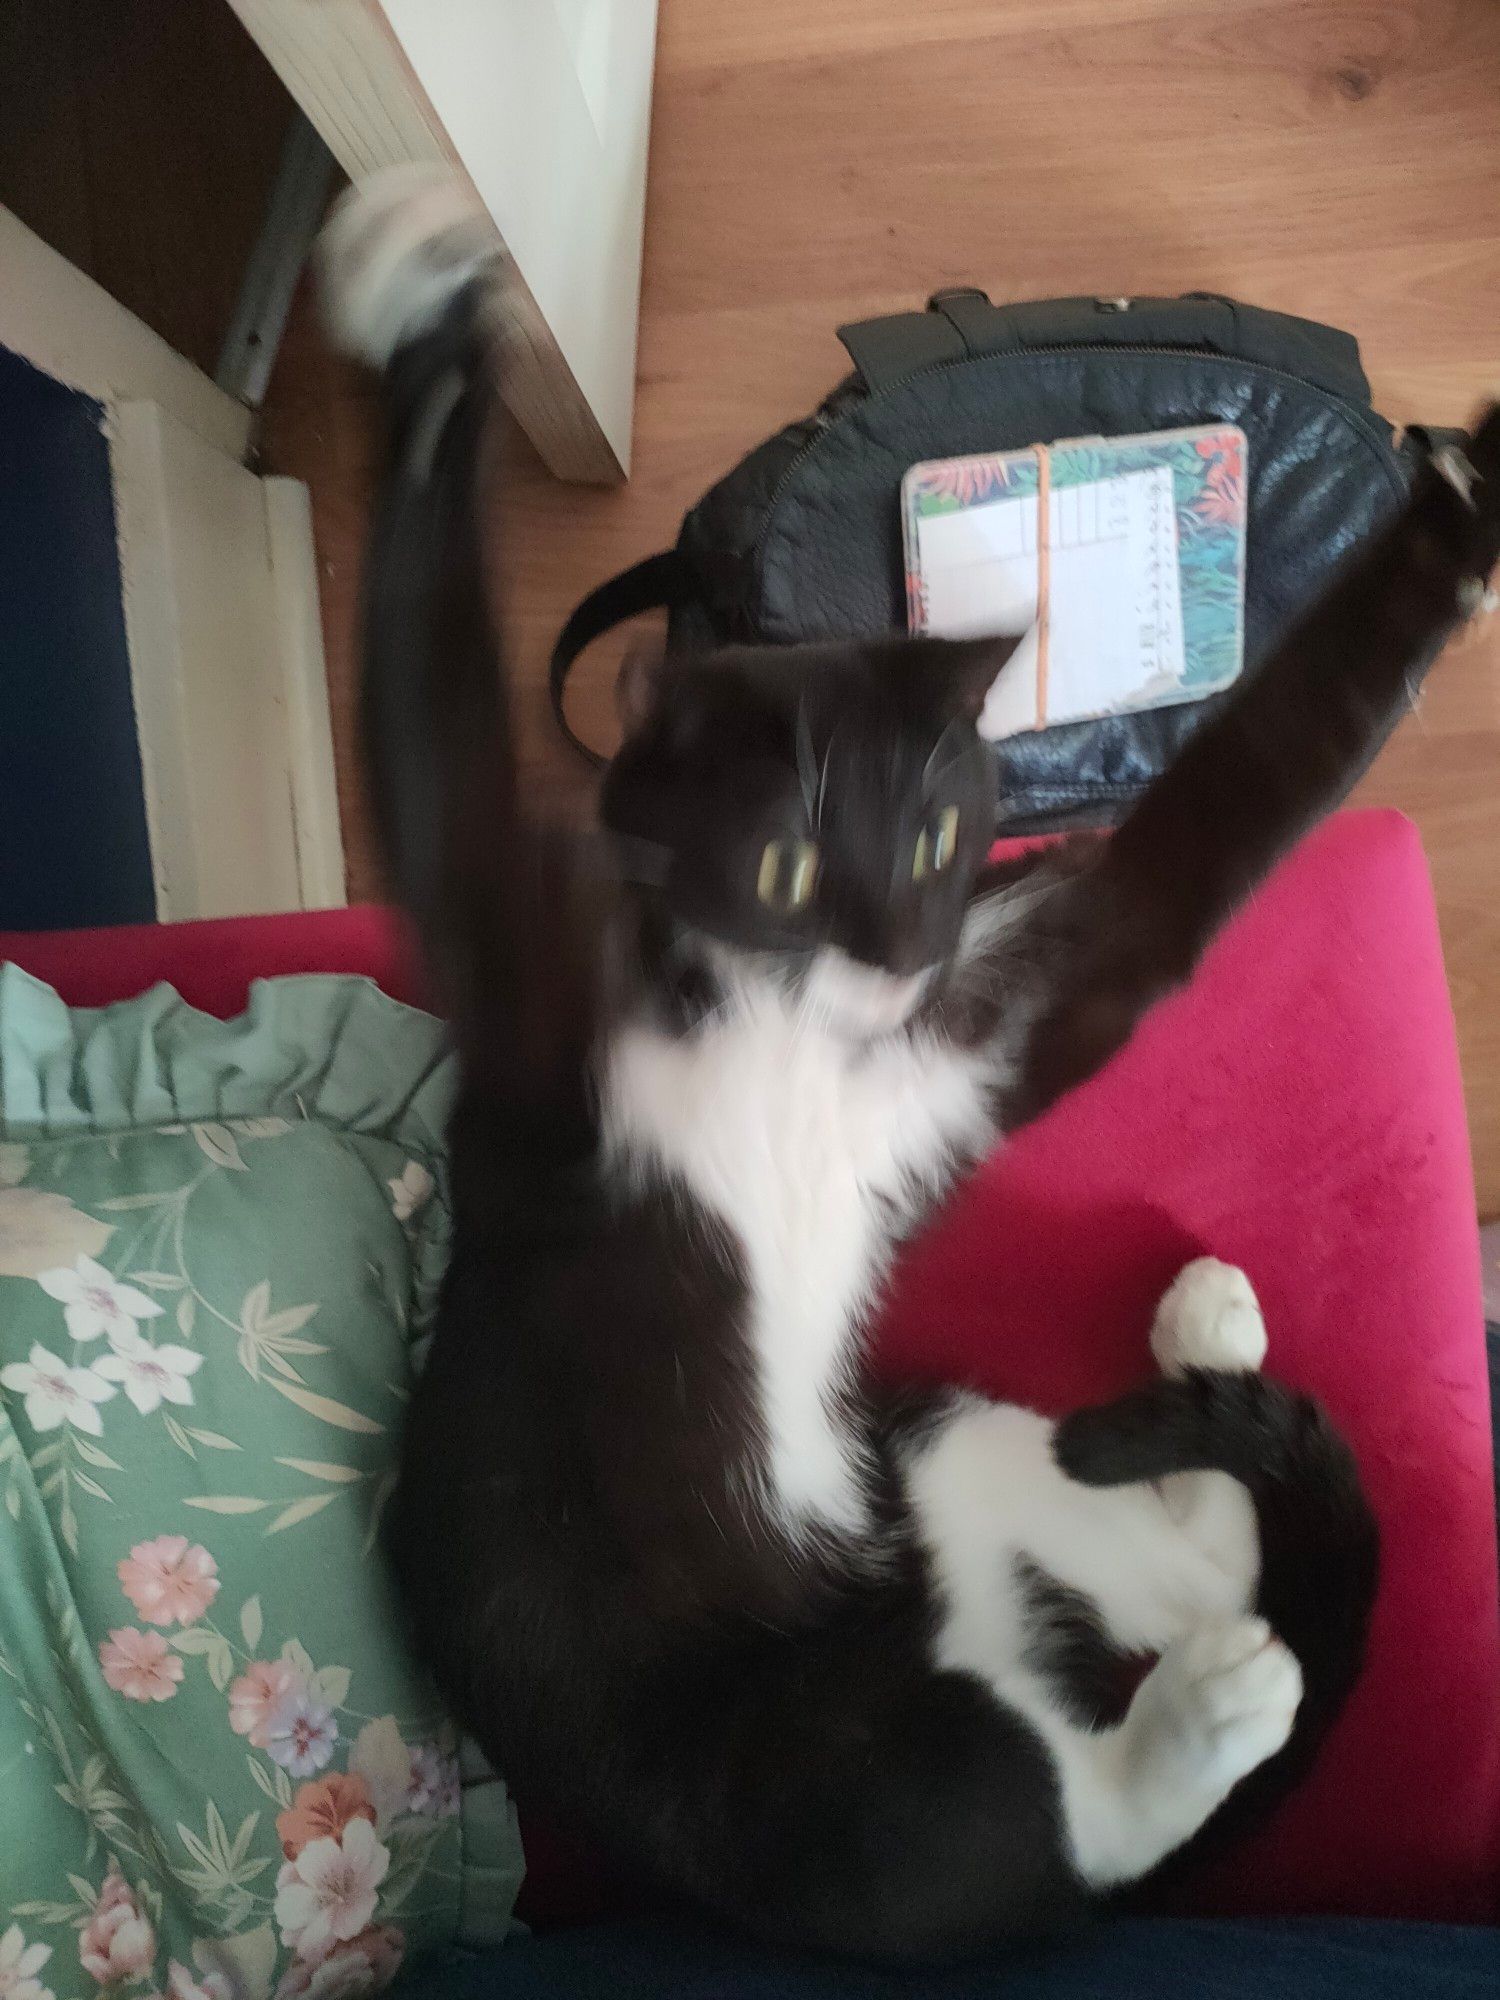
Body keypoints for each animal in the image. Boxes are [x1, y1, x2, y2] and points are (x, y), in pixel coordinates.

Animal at [320, 168, 1500, 1952]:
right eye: (791, 866)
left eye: (945, 838)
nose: (889, 956)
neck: (791, 1031)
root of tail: (945, 1621)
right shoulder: (533, 994)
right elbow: (434, 742)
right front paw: (420, 310)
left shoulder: (977, 1020)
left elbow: (1228, 817)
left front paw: (1468, 508)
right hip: (813, 1756)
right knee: (1034, 1823)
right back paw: (1209, 1704)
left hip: (933, 1444)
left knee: (1188, 1571)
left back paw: (1208, 1367)